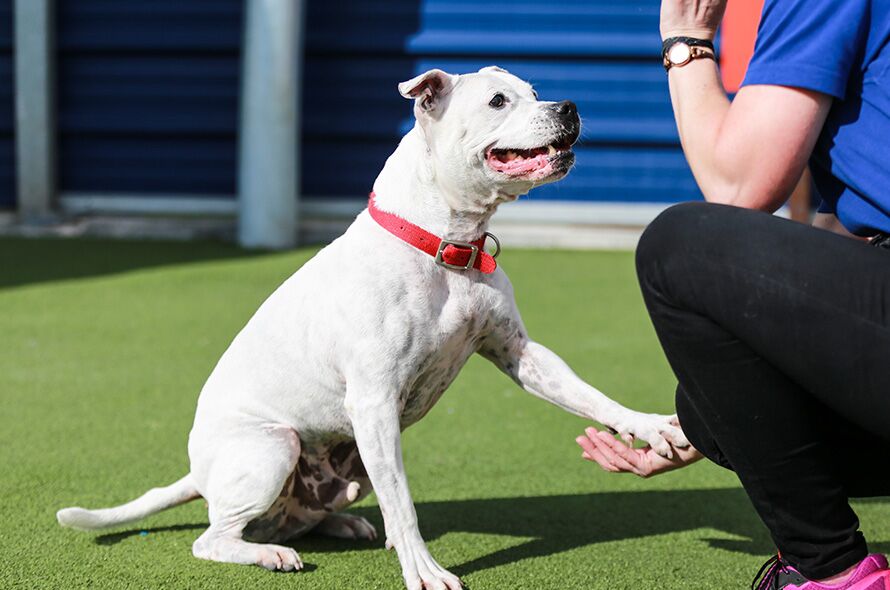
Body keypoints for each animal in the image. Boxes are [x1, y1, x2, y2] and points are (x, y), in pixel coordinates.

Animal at [59, 66, 688, 590]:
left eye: (535, 92)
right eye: (498, 101)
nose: (570, 107)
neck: (444, 247)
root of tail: (198, 472)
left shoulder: (521, 355)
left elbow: (592, 397)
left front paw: (651, 427)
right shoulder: (375, 402)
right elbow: (404, 504)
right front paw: (426, 572)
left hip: (350, 466)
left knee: (296, 518)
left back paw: (340, 527)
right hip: (274, 447)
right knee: (215, 538)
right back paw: (269, 555)